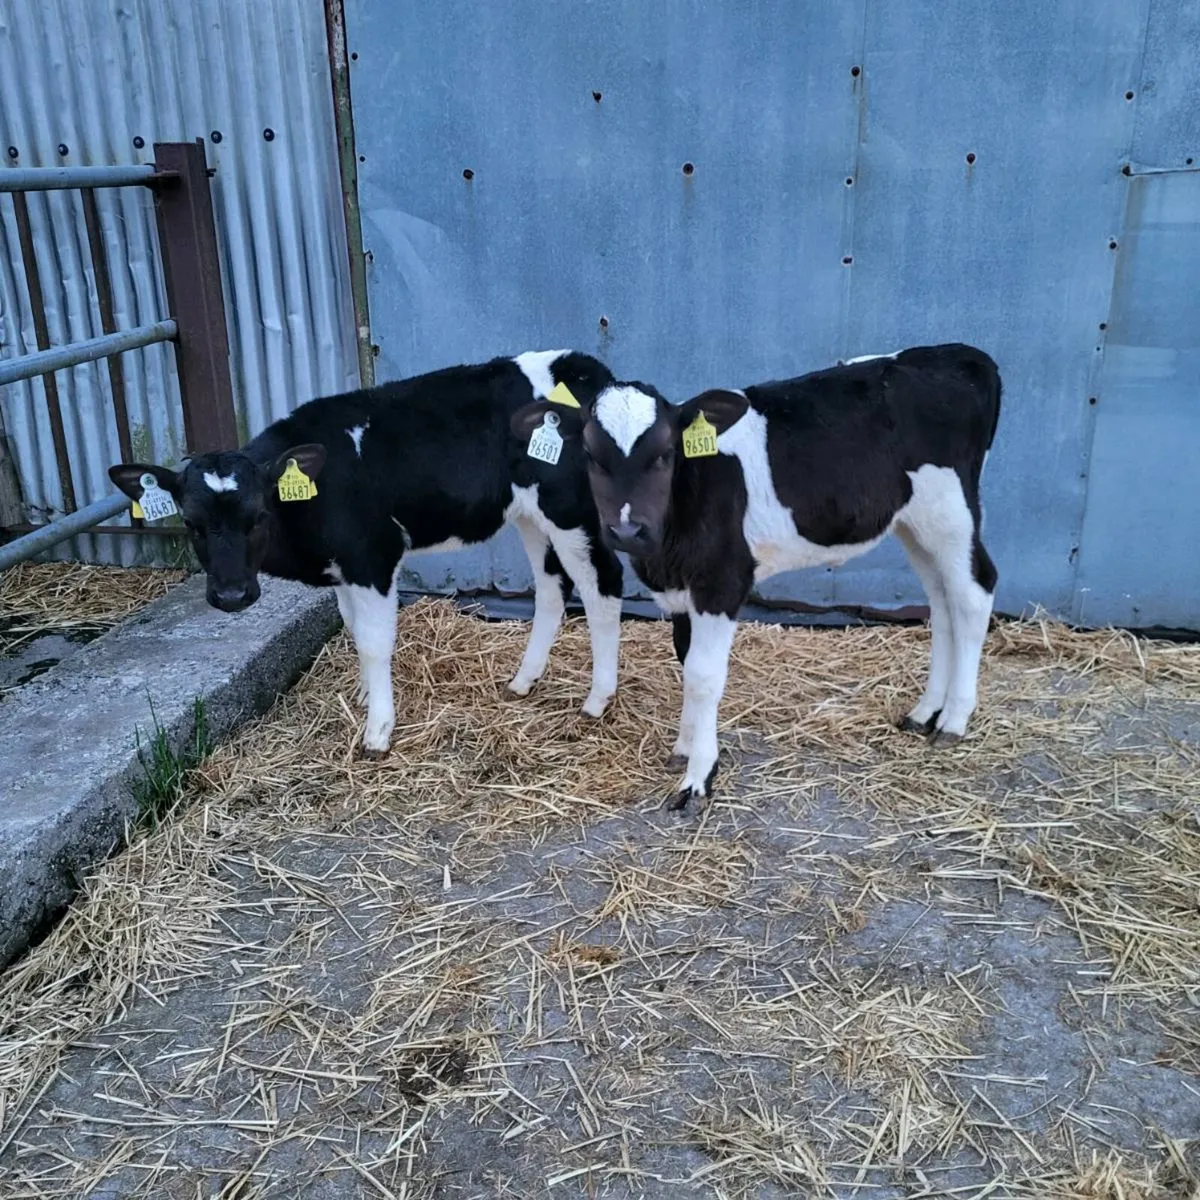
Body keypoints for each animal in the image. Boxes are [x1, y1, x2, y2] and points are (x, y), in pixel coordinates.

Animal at [109, 351, 626, 755]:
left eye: (257, 515)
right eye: (191, 523)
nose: (232, 595)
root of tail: (582, 367)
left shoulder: (372, 556)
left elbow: (375, 642)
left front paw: (378, 729)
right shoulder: (342, 568)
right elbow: (355, 629)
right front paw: (364, 693)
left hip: (573, 508)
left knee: (602, 585)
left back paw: (597, 700)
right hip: (530, 514)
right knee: (551, 588)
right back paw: (524, 680)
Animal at [509, 345, 1002, 809]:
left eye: (666, 453)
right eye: (591, 456)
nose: (627, 530)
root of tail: (958, 353)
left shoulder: (721, 581)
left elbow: (704, 676)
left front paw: (698, 777)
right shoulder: (682, 588)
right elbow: (686, 661)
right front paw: (684, 748)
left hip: (951, 513)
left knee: (974, 593)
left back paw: (954, 719)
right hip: (913, 524)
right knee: (941, 601)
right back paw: (925, 712)